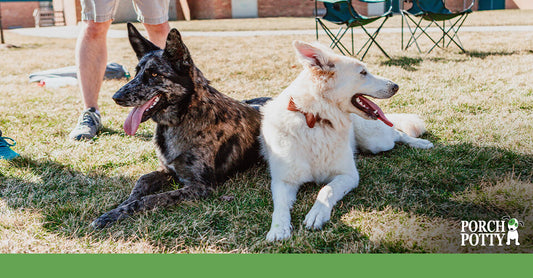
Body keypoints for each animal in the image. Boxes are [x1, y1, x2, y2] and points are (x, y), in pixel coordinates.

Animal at [91, 23, 268, 228]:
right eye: (136, 73)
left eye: (154, 74)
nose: (116, 97)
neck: (184, 116)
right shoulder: (168, 171)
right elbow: (141, 181)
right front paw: (118, 208)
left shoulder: (201, 186)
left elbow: (149, 199)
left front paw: (120, 212)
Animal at [260, 40, 432, 241]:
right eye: (363, 73)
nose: (396, 86)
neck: (316, 119)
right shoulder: (283, 181)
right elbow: (279, 206)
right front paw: (279, 228)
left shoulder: (348, 175)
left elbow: (326, 190)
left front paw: (317, 213)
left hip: (376, 141)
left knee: (397, 133)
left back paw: (420, 143)